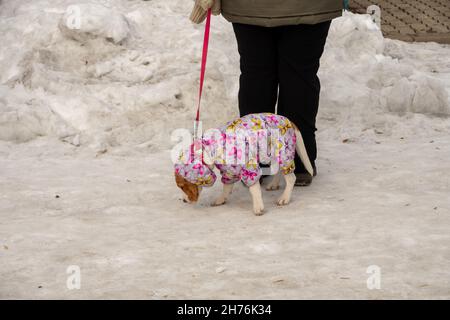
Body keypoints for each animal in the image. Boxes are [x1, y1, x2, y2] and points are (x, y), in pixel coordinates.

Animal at [174, 112, 314, 215]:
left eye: (182, 186)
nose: (184, 201)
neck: (211, 147)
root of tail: (289, 121)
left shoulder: (249, 167)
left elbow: (254, 189)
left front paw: (258, 207)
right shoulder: (229, 170)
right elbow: (227, 186)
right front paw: (221, 199)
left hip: (283, 154)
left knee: (291, 178)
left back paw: (284, 198)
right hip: (271, 155)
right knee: (278, 171)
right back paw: (274, 184)